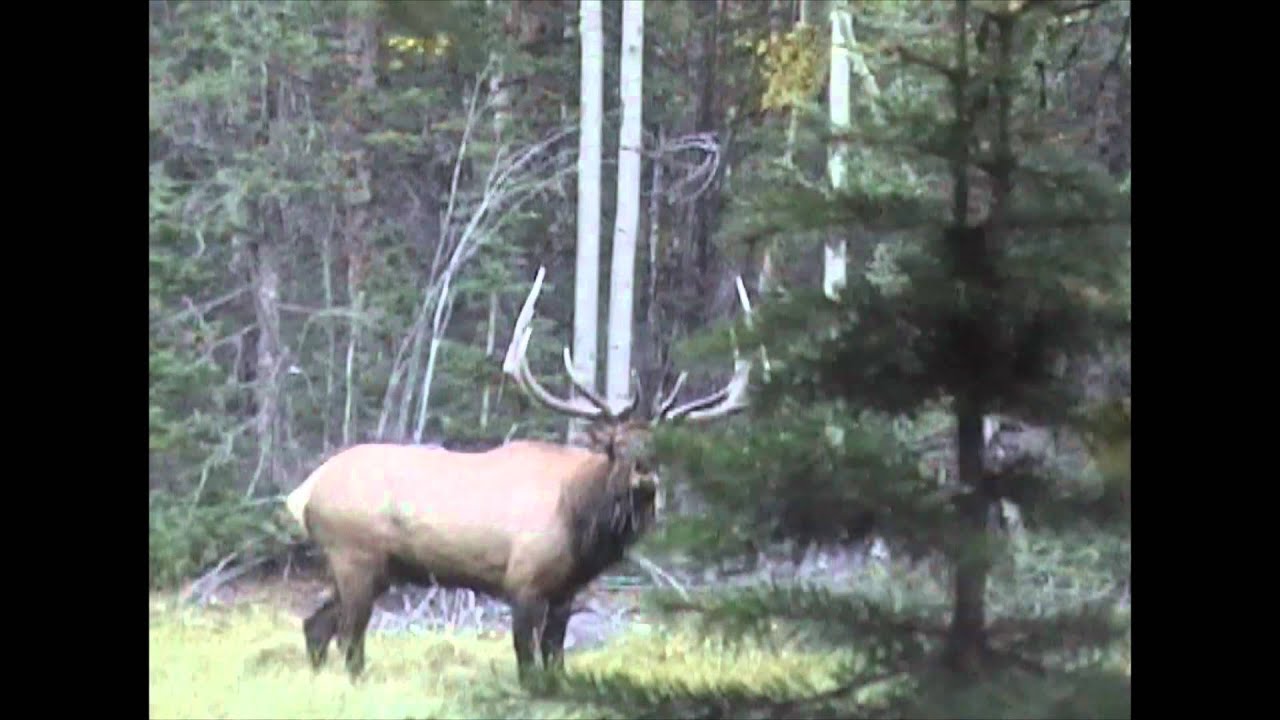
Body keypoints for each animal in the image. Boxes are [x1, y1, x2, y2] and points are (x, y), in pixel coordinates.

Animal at [284, 266, 753, 685]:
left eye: (658, 449)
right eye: (616, 446)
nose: (644, 480)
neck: (581, 523)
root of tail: (303, 492)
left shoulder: (566, 591)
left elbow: (555, 657)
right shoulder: (522, 580)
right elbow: (527, 661)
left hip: (368, 567)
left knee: (316, 626)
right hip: (355, 555)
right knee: (349, 637)